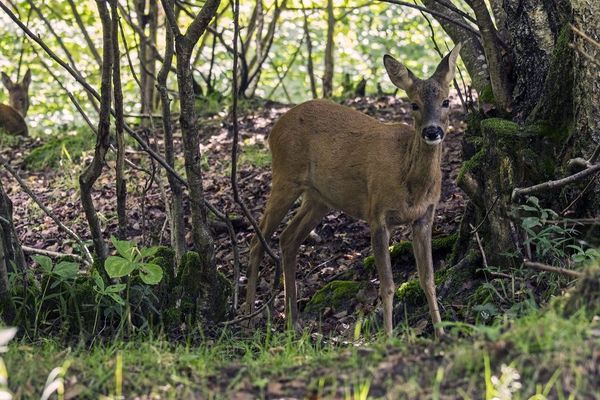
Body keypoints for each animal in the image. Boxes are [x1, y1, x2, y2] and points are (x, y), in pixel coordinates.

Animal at [246, 44, 462, 338]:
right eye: (414, 104)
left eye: (447, 101)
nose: (432, 131)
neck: (410, 182)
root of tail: (273, 129)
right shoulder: (377, 213)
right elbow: (388, 284)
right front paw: (388, 336)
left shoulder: (425, 216)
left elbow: (428, 278)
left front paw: (441, 333)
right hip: (285, 176)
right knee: (257, 240)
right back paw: (248, 316)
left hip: (319, 197)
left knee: (288, 238)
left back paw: (294, 321)